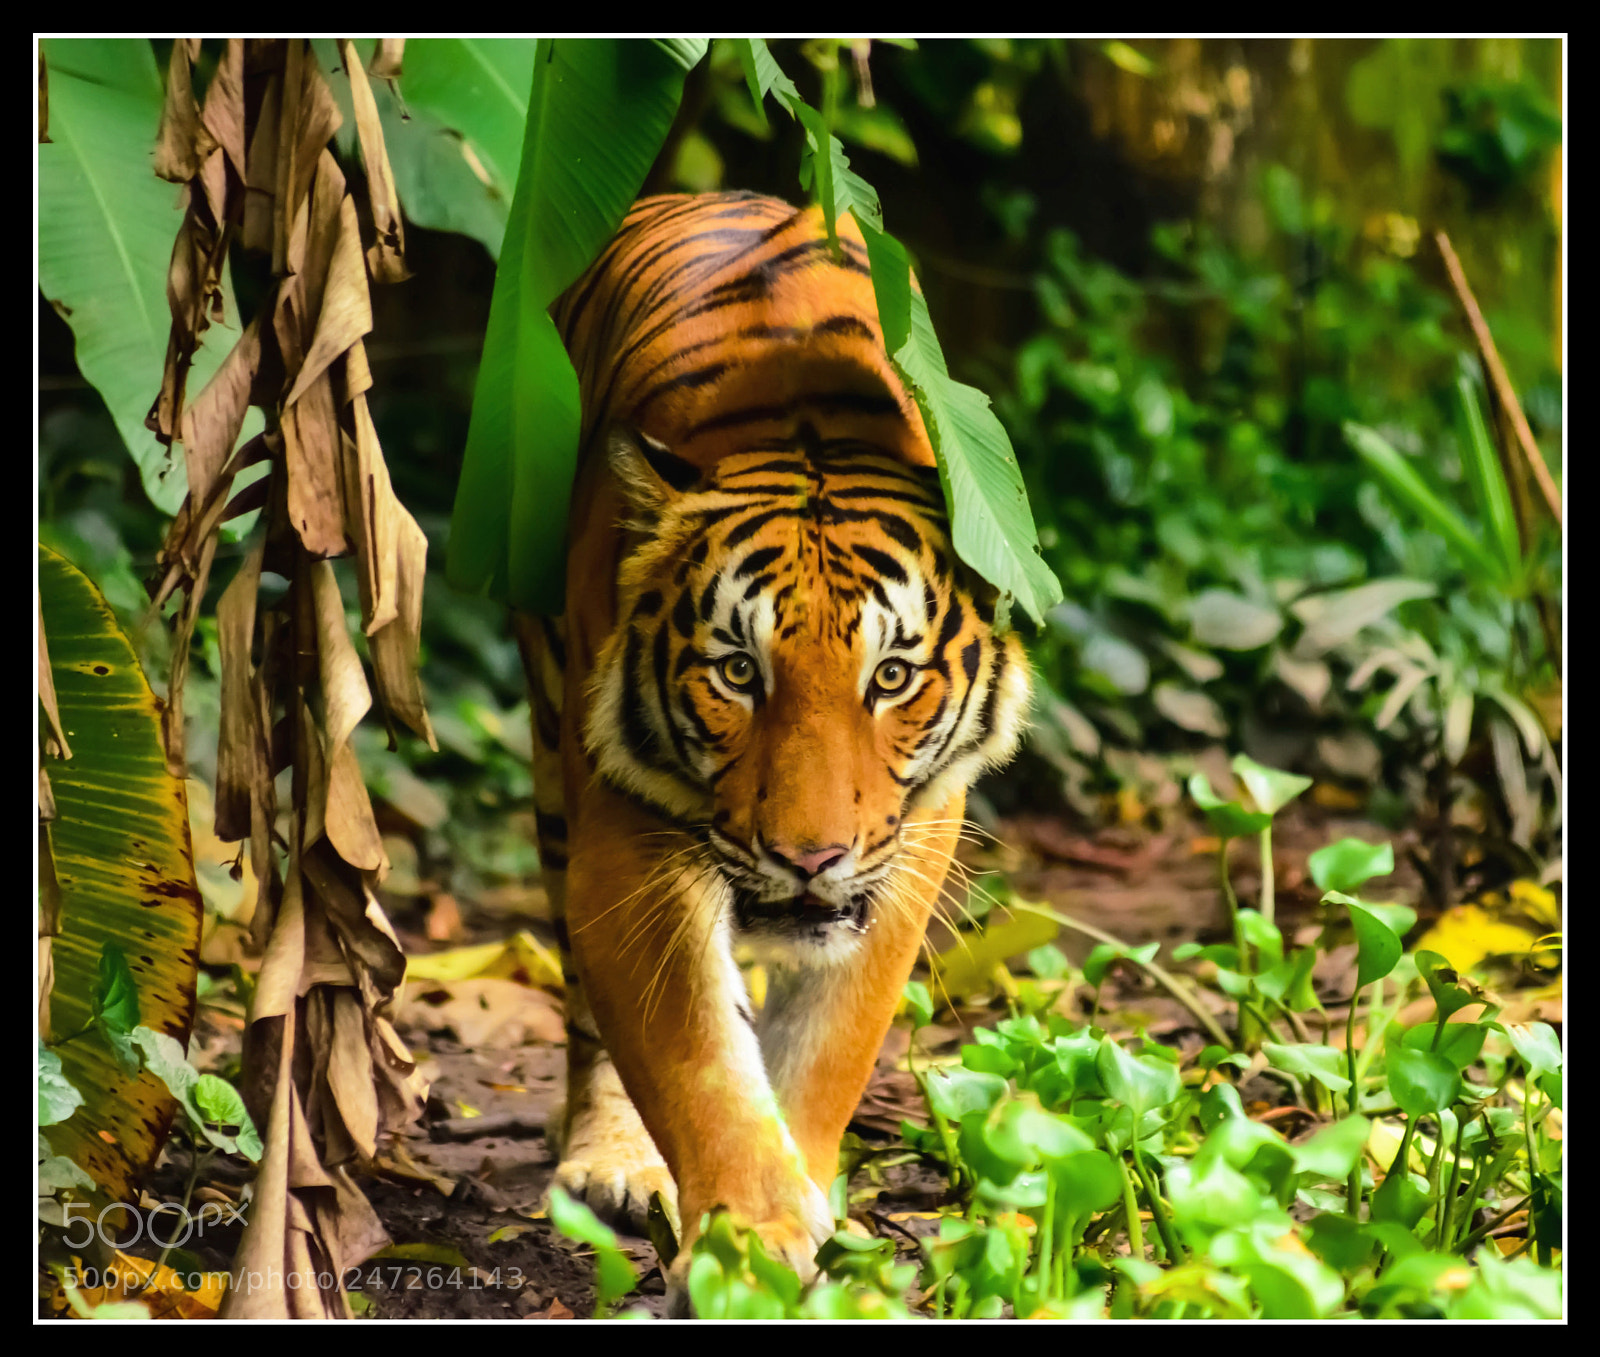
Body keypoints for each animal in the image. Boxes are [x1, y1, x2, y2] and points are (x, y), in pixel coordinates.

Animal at [519, 191, 1032, 1310]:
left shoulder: (913, 839)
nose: (808, 855)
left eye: (892, 676)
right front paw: (746, 1245)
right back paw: (613, 1159)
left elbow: (829, 1047)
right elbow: (697, 1057)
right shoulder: (626, 838)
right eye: (736, 670)